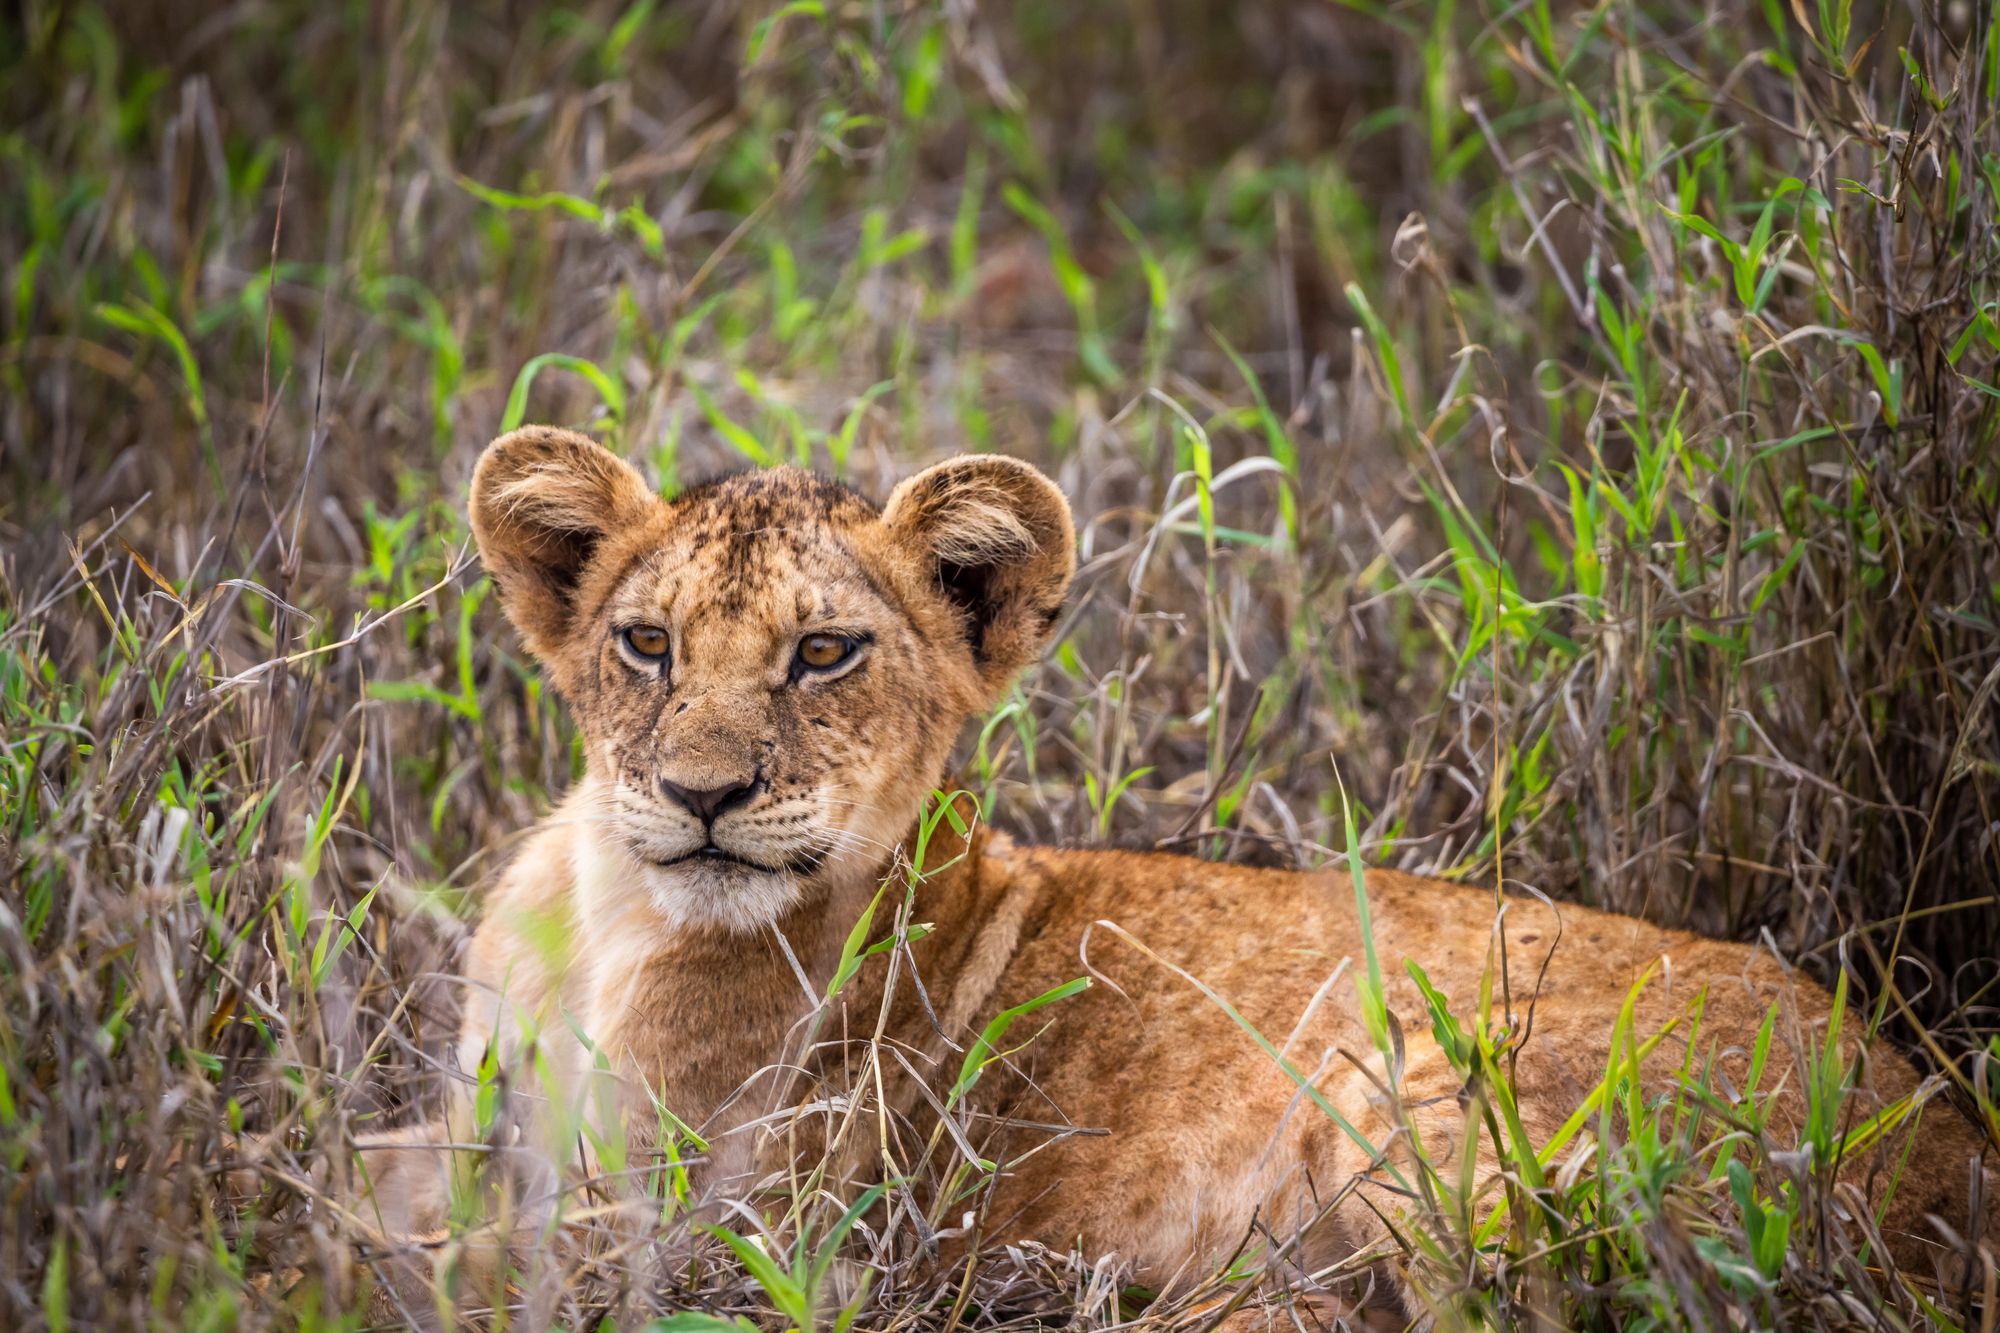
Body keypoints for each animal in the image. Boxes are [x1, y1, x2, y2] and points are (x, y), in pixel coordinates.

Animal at [354, 425, 1995, 1324]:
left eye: (823, 653)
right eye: (646, 645)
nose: (702, 794)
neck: (613, 916)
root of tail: (1946, 1150)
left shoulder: (691, 1227)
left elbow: (428, 1248)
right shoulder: (481, 1121)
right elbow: (376, 1172)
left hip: (1415, 1077)